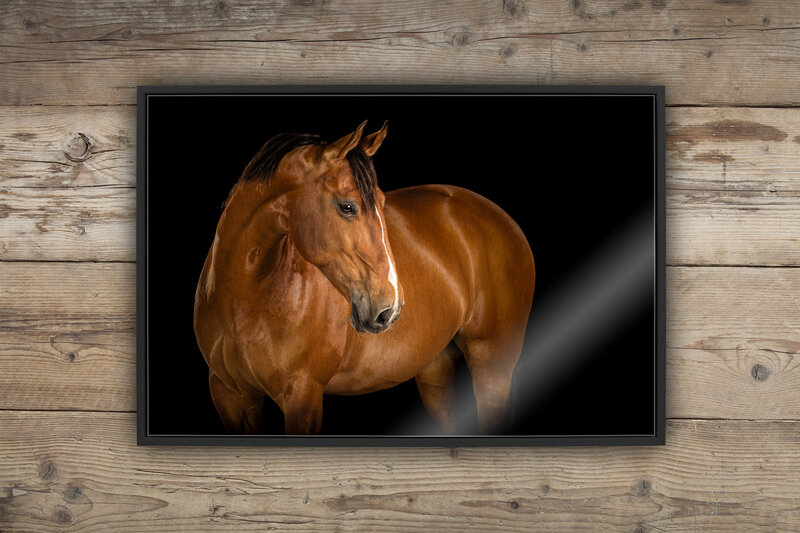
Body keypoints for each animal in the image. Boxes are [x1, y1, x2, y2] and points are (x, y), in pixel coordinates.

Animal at [193, 120, 535, 435]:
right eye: (347, 207)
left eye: (382, 203)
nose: (389, 309)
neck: (244, 297)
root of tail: (502, 219)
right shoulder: (231, 396)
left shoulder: (303, 396)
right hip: (435, 369)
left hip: (492, 365)